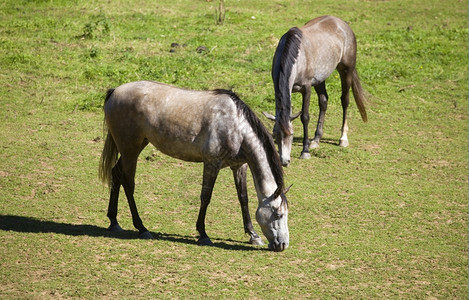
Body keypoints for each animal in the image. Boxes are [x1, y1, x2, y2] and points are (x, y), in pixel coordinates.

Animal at [98, 81, 288, 252]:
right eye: (278, 214)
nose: (283, 244)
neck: (235, 127)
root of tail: (115, 91)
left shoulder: (239, 166)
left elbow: (243, 198)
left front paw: (253, 235)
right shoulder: (212, 163)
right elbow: (206, 197)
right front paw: (203, 234)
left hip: (136, 147)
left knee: (116, 173)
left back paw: (114, 222)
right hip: (130, 150)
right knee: (128, 183)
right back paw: (142, 228)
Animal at [264, 15, 366, 166]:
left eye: (291, 134)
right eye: (275, 134)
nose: (285, 161)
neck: (297, 57)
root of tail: (342, 23)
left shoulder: (306, 88)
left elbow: (305, 117)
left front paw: (305, 151)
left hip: (346, 71)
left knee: (345, 101)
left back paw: (343, 139)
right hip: (320, 79)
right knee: (323, 102)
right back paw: (316, 140)